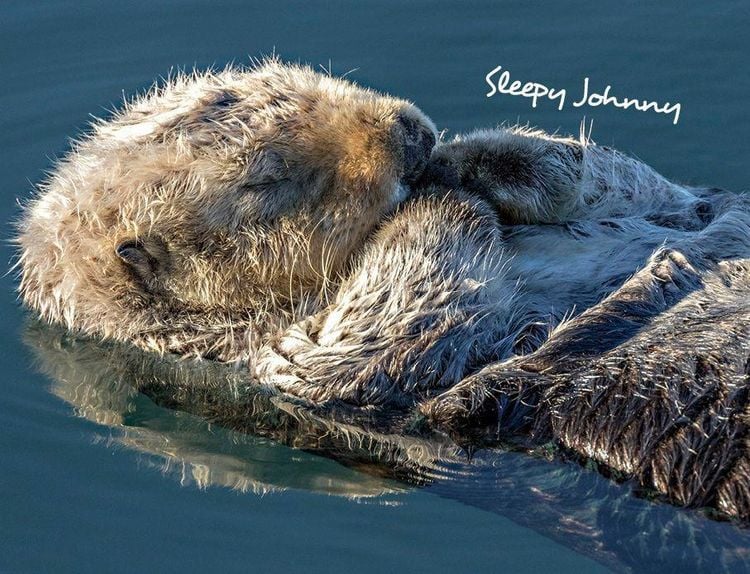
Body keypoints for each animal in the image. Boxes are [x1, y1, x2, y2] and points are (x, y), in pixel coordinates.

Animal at [16, 61, 750, 521]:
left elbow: (637, 185)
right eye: (266, 179)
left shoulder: (680, 209)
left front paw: (466, 161)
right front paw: (440, 197)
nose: (411, 133)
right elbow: (385, 333)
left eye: (310, 79)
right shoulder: (279, 367)